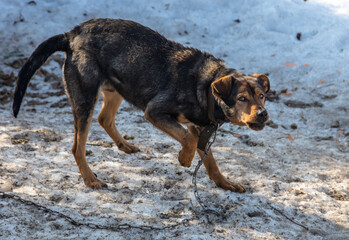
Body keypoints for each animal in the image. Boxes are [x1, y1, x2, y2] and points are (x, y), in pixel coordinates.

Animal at [12, 17, 270, 192]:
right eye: (242, 98)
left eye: (261, 95)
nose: (263, 115)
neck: (206, 87)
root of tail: (72, 34)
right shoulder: (155, 112)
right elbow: (187, 138)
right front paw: (184, 159)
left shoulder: (200, 128)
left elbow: (210, 161)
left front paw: (225, 183)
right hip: (85, 98)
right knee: (78, 147)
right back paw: (91, 180)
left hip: (117, 88)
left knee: (104, 118)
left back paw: (124, 145)